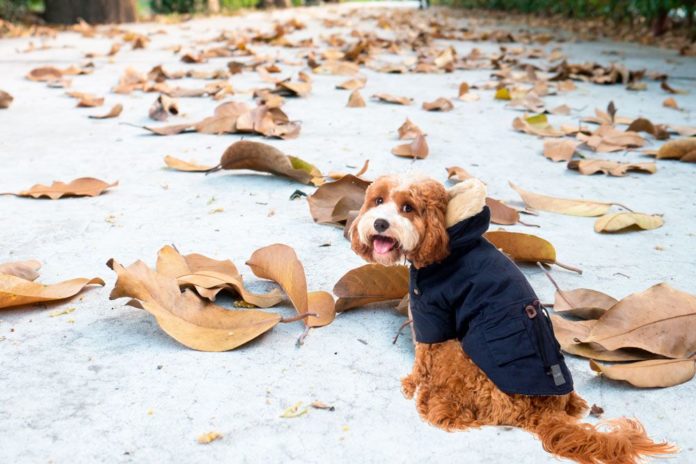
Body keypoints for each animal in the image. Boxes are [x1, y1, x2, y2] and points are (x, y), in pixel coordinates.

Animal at [350, 174, 676, 464]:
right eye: (378, 200)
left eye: (408, 208)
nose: (380, 223)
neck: (451, 237)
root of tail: (542, 411)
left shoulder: (432, 314)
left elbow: (422, 356)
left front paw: (412, 383)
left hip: (460, 355)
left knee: (459, 412)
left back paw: (434, 402)